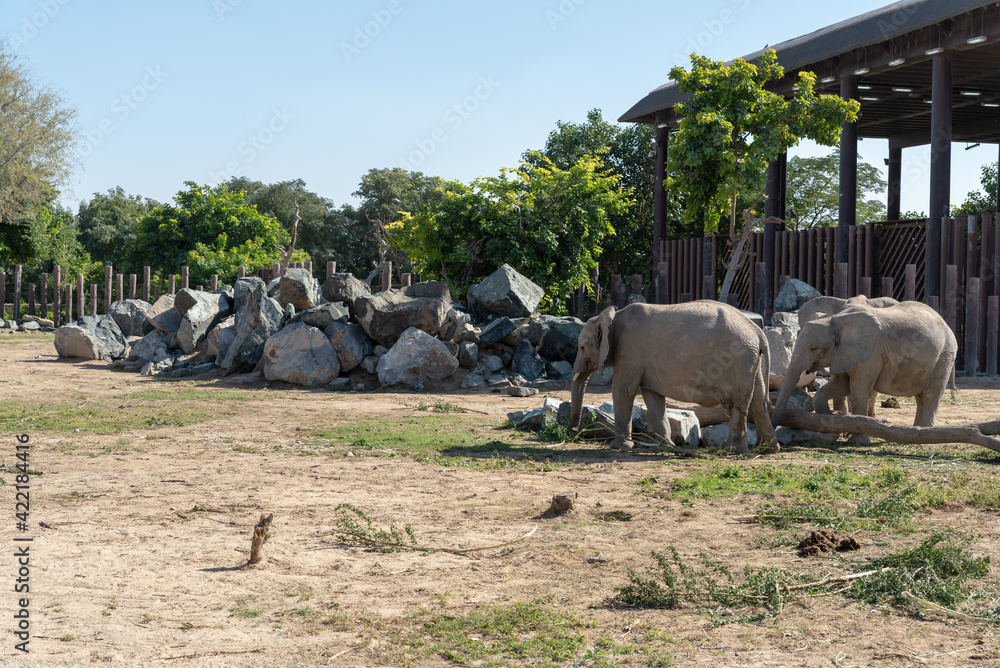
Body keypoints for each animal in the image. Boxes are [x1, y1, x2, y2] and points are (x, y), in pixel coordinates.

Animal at [572, 302, 772, 454]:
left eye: (581, 347)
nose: (573, 430)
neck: (613, 315)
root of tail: (759, 332)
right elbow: (652, 396)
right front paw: (665, 447)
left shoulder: (630, 352)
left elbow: (624, 390)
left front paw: (618, 447)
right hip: (750, 361)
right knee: (758, 401)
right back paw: (766, 449)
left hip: (738, 360)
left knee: (737, 404)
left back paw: (731, 450)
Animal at [768, 300, 956, 436]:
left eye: (813, 348)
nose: (774, 428)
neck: (834, 320)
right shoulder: (844, 354)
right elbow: (839, 386)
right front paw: (834, 422)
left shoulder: (871, 354)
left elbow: (859, 389)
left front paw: (856, 438)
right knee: (920, 397)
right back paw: (916, 432)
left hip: (945, 355)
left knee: (931, 395)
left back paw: (924, 435)